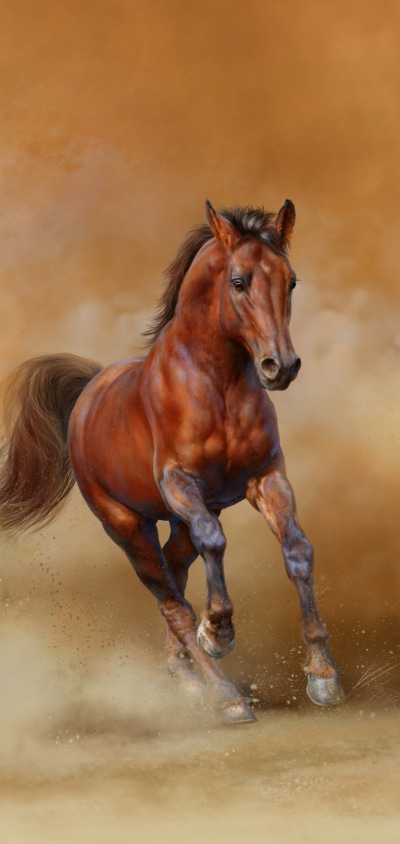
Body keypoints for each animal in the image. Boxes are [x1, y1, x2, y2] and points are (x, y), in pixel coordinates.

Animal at [0, 200, 345, 724]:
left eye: (291, 281)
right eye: (239, 281)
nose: (280, 367)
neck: (217, 385)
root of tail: (90, 391)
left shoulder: (267, 479)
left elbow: (297, 551)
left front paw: (323, 677)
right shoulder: (180, 484)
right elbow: (215, 543)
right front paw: (218, 631)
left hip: (175, 523)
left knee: (177, 574)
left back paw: (183, 674)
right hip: (126, 526)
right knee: (171, 600)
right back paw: (224, 696)